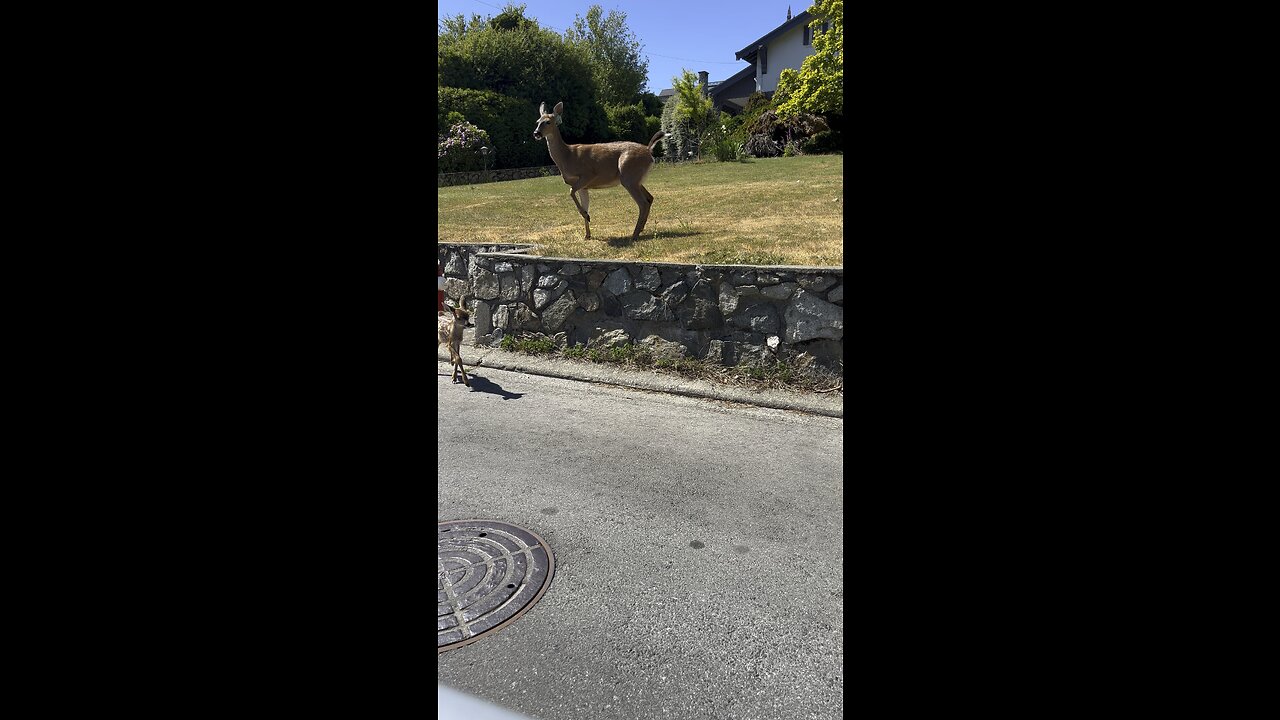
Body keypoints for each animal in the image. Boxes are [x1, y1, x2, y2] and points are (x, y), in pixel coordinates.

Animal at [532, 99, 665, 243]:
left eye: (548, 122)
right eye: (537, 121)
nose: (536, 133)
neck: (567, 156)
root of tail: (648, 151)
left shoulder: (588, 174)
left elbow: (571, 191)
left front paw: (587, 217)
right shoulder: (584, 187)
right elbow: (583, 202)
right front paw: (587, 233)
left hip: (628, 175)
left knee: (643, 203)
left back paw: (634, 235)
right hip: (636, 179)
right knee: (650, 198)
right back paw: (640, 229)